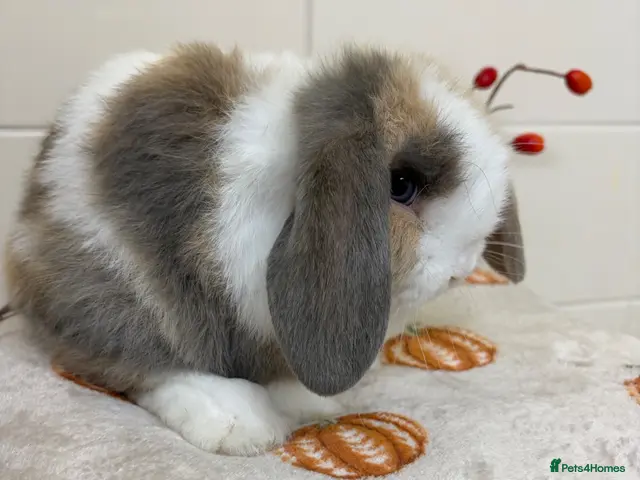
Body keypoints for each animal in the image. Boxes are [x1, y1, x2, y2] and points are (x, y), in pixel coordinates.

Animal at [3, 42, 525, 456]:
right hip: (113, 284)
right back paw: (237, 422)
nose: (463, 268)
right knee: (134, 358)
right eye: (400, 184)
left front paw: (320, 399)